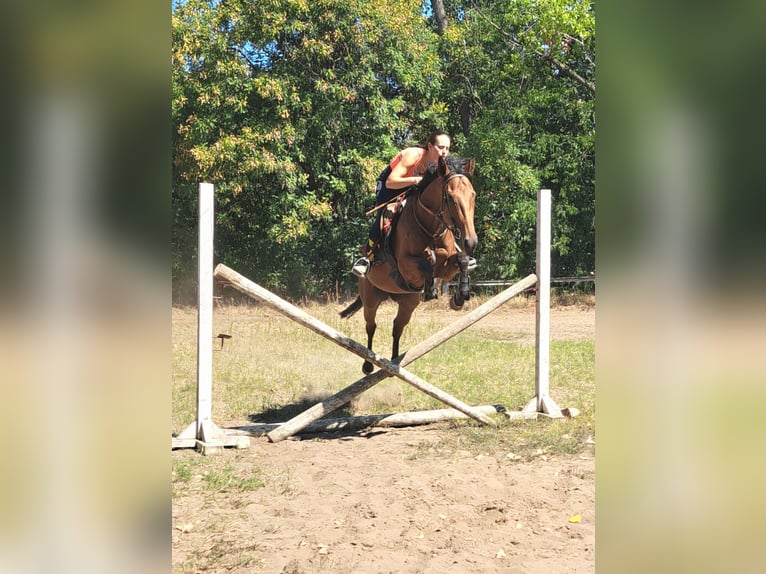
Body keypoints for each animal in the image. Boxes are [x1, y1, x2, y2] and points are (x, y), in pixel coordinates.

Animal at [340, 154, 478, 374]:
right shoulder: (406, 267)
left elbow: (460, 261)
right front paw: (431, 288)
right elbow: (428, 264)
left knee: (397, 327)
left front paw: (459, 296)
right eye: (449, 197)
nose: (471, 242)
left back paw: (394, 363)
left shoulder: (448, 266)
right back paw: (368, 364)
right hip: (371, 297)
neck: (430, 228)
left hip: (408, 303)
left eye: (473, 195)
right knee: (371, 326)